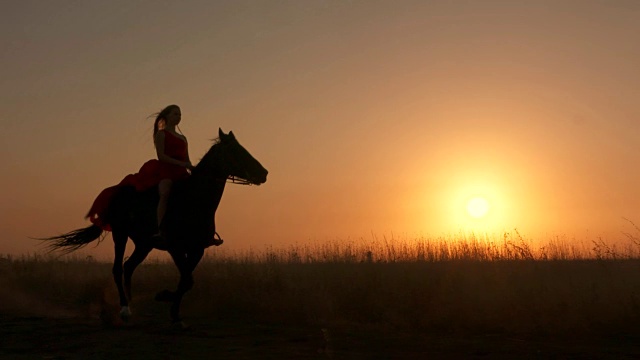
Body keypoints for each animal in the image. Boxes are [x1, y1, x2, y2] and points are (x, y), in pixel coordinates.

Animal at [42, 129, 268, 324]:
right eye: (236, 151)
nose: (264, 173)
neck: (193, 201)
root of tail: (117, 193)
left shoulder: (197, 249)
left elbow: (186, 280)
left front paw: (173, 310)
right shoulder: (175, 247)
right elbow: (187, 280)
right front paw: (166, 300)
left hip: (144, 244)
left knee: (129, 266)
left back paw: (130, 304)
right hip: (120, 235)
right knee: (117, 268)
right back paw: (124, 309)